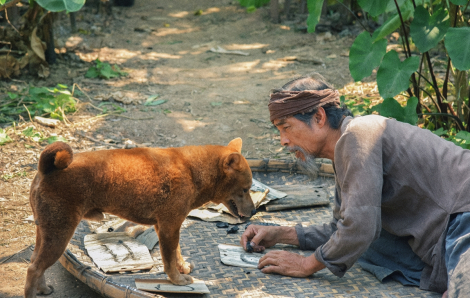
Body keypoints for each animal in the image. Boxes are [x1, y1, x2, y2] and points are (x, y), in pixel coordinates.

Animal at [24, 139, 255, 296]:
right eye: (245, 189)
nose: (253, 212)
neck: (192, 171)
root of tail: (46, 168)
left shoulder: (169, 226)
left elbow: (177, 253)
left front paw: (182, 268)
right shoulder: (169, 226)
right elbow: (169, 261)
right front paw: (178, 280)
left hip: (45, 232)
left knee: (35, 263)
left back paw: (43, 289)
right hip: (59, 234)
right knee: (33, 269)